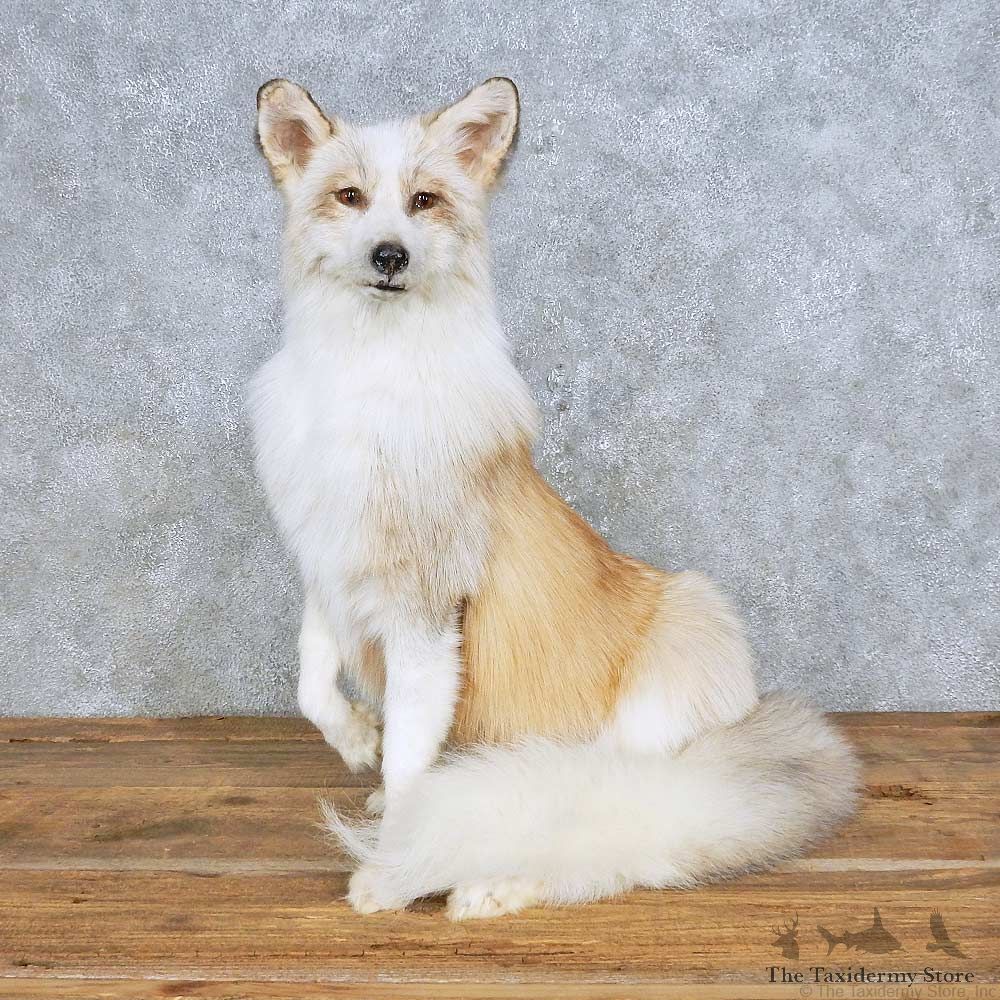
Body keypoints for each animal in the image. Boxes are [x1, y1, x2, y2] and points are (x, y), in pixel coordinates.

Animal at [249, 76, 860, 920]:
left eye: (424, 201)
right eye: (350, 197)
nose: (389, 256)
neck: (365, 388)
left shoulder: (427, 613)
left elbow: (409, 766)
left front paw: (395, 860)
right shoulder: (328, 564)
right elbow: (311, 685)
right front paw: (355, 740)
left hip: (682, 644)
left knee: (616, 845)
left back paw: (494, 883)